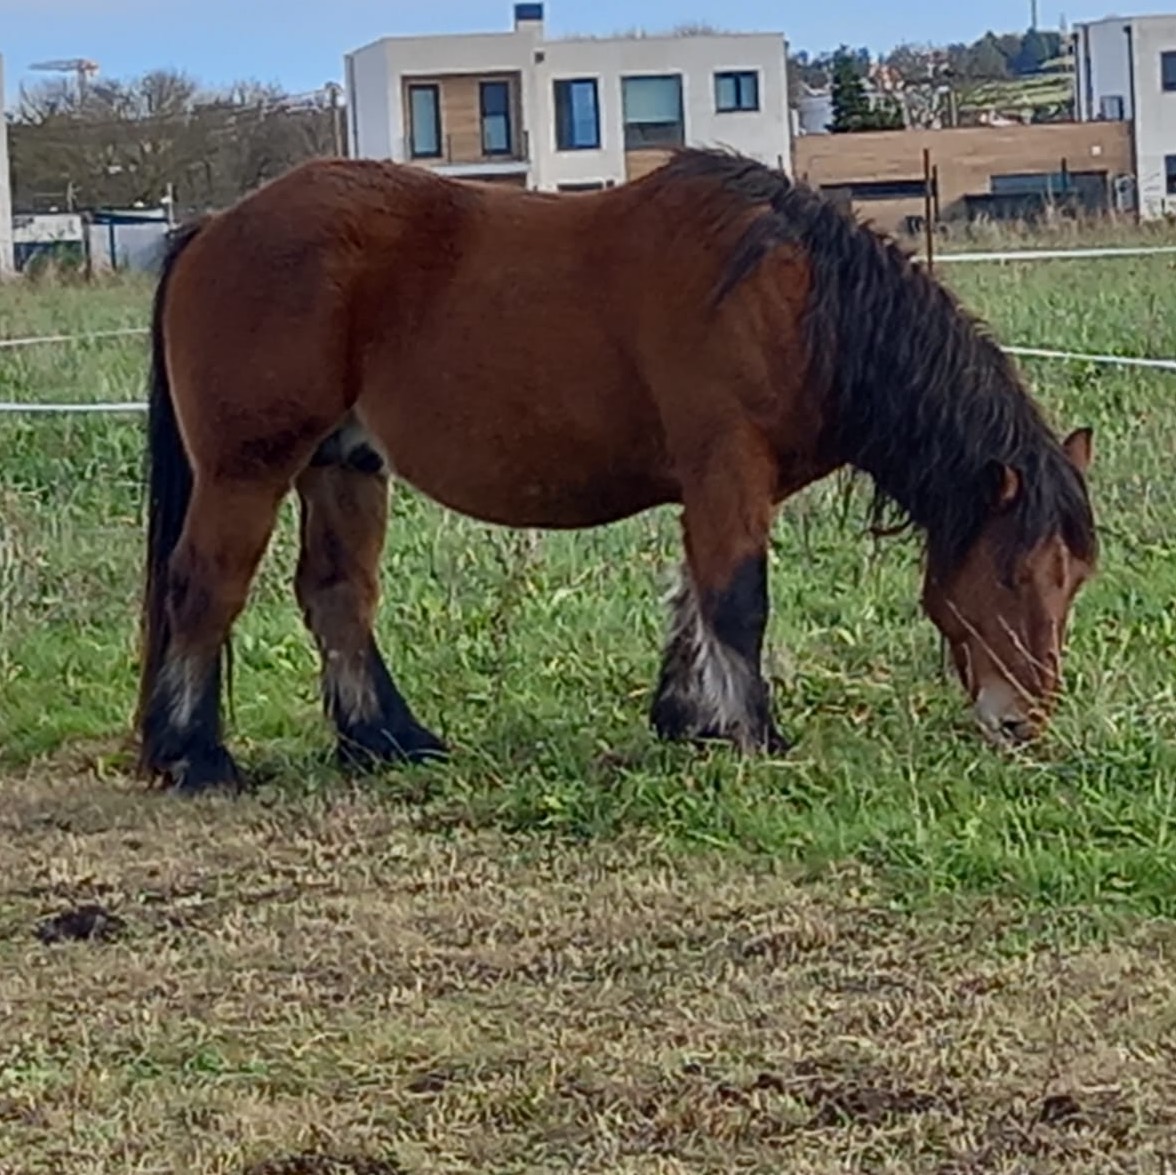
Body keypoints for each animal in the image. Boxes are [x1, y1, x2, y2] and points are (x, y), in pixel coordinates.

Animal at [135, 147, 1097, 794]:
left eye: (1074, 578)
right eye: (1011, 575)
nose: (1024, 722)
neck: (795, 304)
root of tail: (216, 228)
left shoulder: (719, 486)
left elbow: (694, 600)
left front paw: (687, 719)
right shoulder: (726, 468)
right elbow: (738, 600)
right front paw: (757, 734)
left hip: (344, 465)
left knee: (337, 595)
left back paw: (388, 739)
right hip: (248, 469)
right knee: (205, 589)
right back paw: (197, 755)